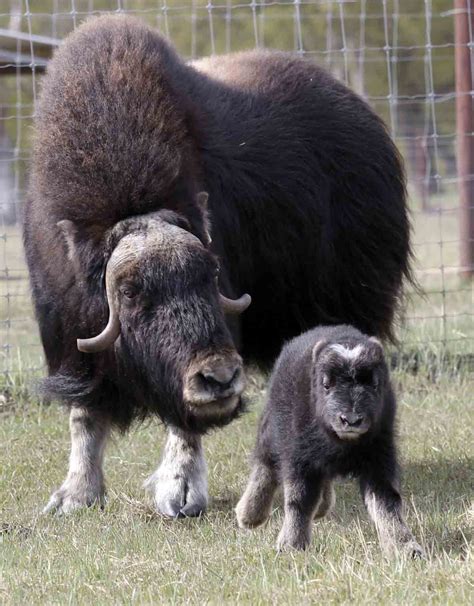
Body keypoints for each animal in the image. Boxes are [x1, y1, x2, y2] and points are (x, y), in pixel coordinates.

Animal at [24, 14, 412, 516]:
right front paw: (74, 496)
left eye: (209, 274)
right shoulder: (69, 336)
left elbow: (185, 422)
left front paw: (181, 493)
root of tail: (359, 111)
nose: (220, 377)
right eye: (129, 291)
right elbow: (84, 416)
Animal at [235, 326, 424, 560]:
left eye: (374, 383)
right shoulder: (301, 459)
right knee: (264, 466)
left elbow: (386, 502)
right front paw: (291, 546)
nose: (351, 420)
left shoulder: (379, 458)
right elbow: (300, 500)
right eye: (326, 384)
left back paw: (321, 508)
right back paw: (249, 515)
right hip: (270, 433)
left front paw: (406, 549)